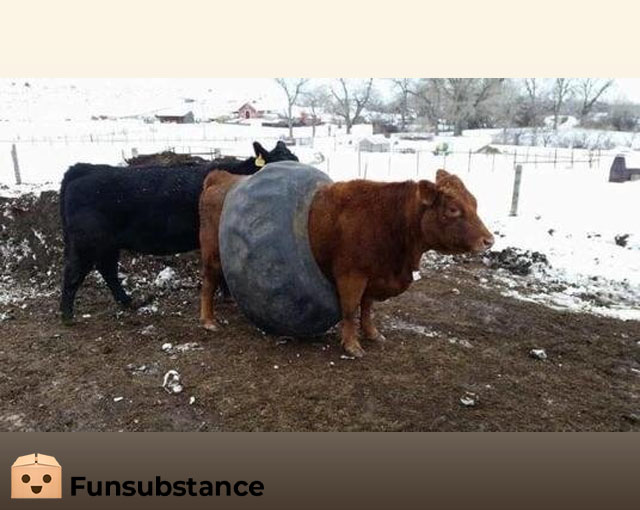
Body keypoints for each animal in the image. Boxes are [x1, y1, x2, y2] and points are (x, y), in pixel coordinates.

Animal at [60, 141, 298, 322]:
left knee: (107, 270)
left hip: (107, 244)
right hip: (87, 243)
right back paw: (67, 315)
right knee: (74, 272)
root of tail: (84, 168)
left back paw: (127, 301)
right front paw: (227, 295)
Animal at [198, 168, 494, 357]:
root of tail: (222, 177)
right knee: (208, 284)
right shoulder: (352, 274)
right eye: (453, 209)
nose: (488, 240)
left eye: (475, 203)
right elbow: (351, 309)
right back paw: (208, 320)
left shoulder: (373, 275)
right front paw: (352, 346)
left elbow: (368, 308)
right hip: (211, 256)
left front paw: (372, 333)